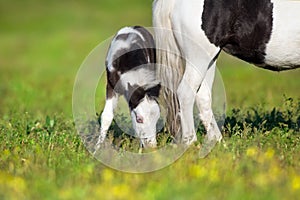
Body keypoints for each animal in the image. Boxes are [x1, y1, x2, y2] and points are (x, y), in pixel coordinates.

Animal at [154, 0, 298, 145]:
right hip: (198, 58)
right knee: (186, 92)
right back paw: (191, 142)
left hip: (209, 59)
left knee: (202, 96)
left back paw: (216, 140)